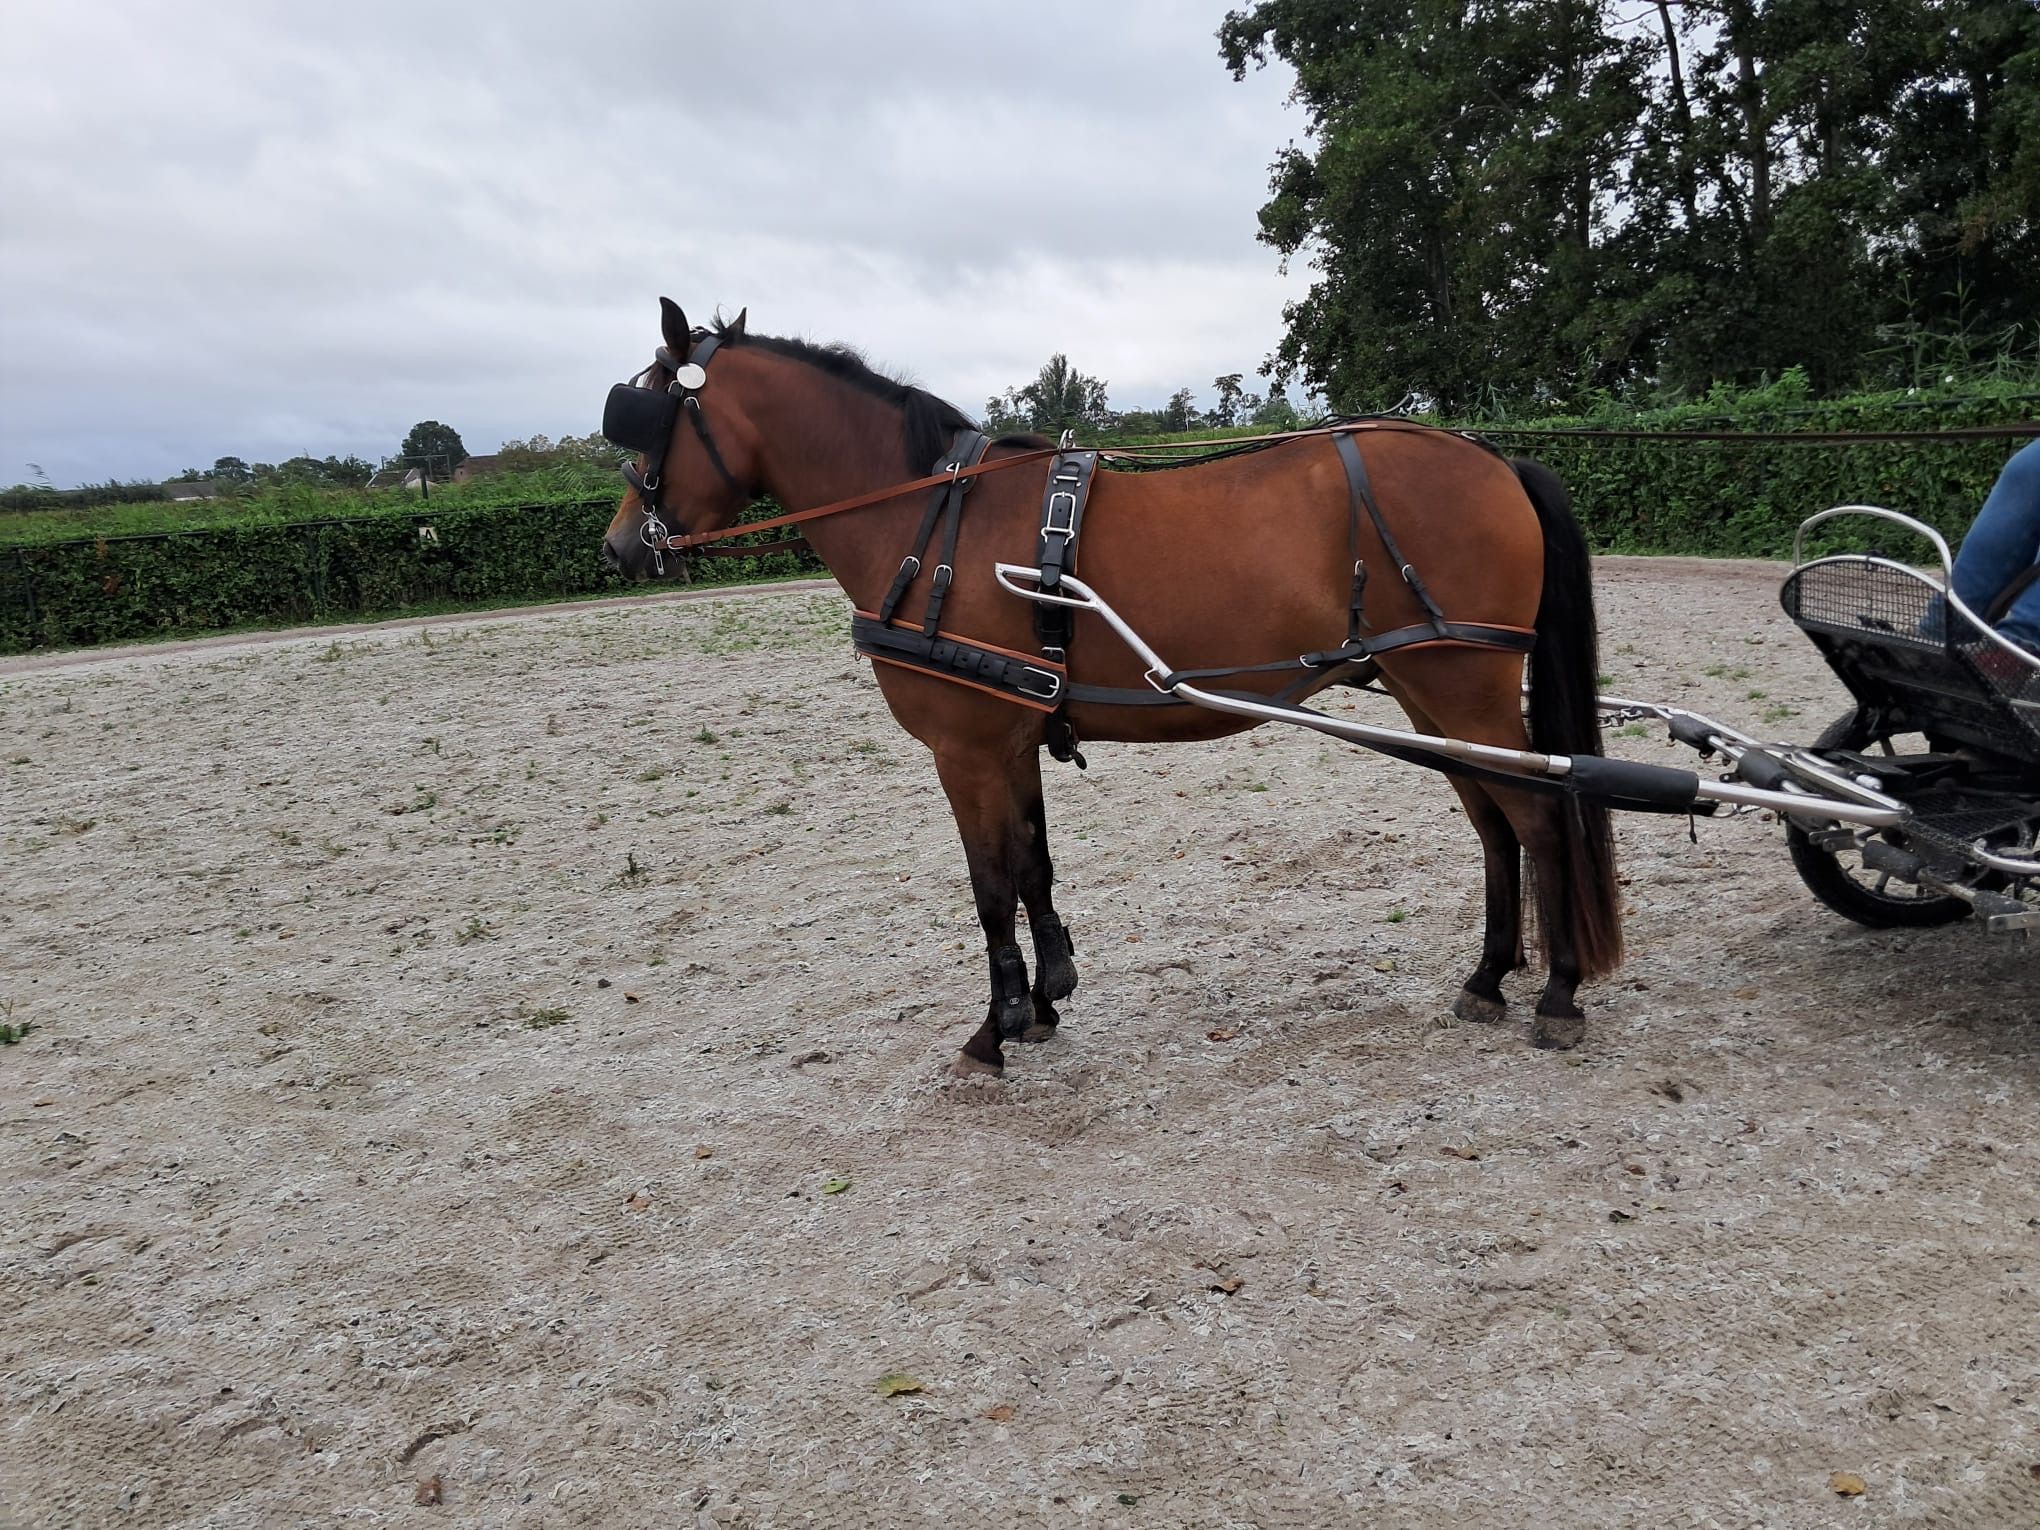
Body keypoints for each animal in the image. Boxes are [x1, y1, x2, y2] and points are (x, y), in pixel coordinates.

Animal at [600, 299, 1620, 1075]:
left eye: (646, 417)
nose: (617, 550)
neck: (931, 521)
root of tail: (1491, 457)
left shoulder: (965, 751)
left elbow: (989, 886)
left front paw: (995, 1029)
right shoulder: (1012, 742)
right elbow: (1033, 868)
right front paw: (1047, 1002)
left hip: (1462, 685)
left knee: (1538, 816)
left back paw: (1558, 990)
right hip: (1428, 693)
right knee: (1493, 822)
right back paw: (1488, 977)